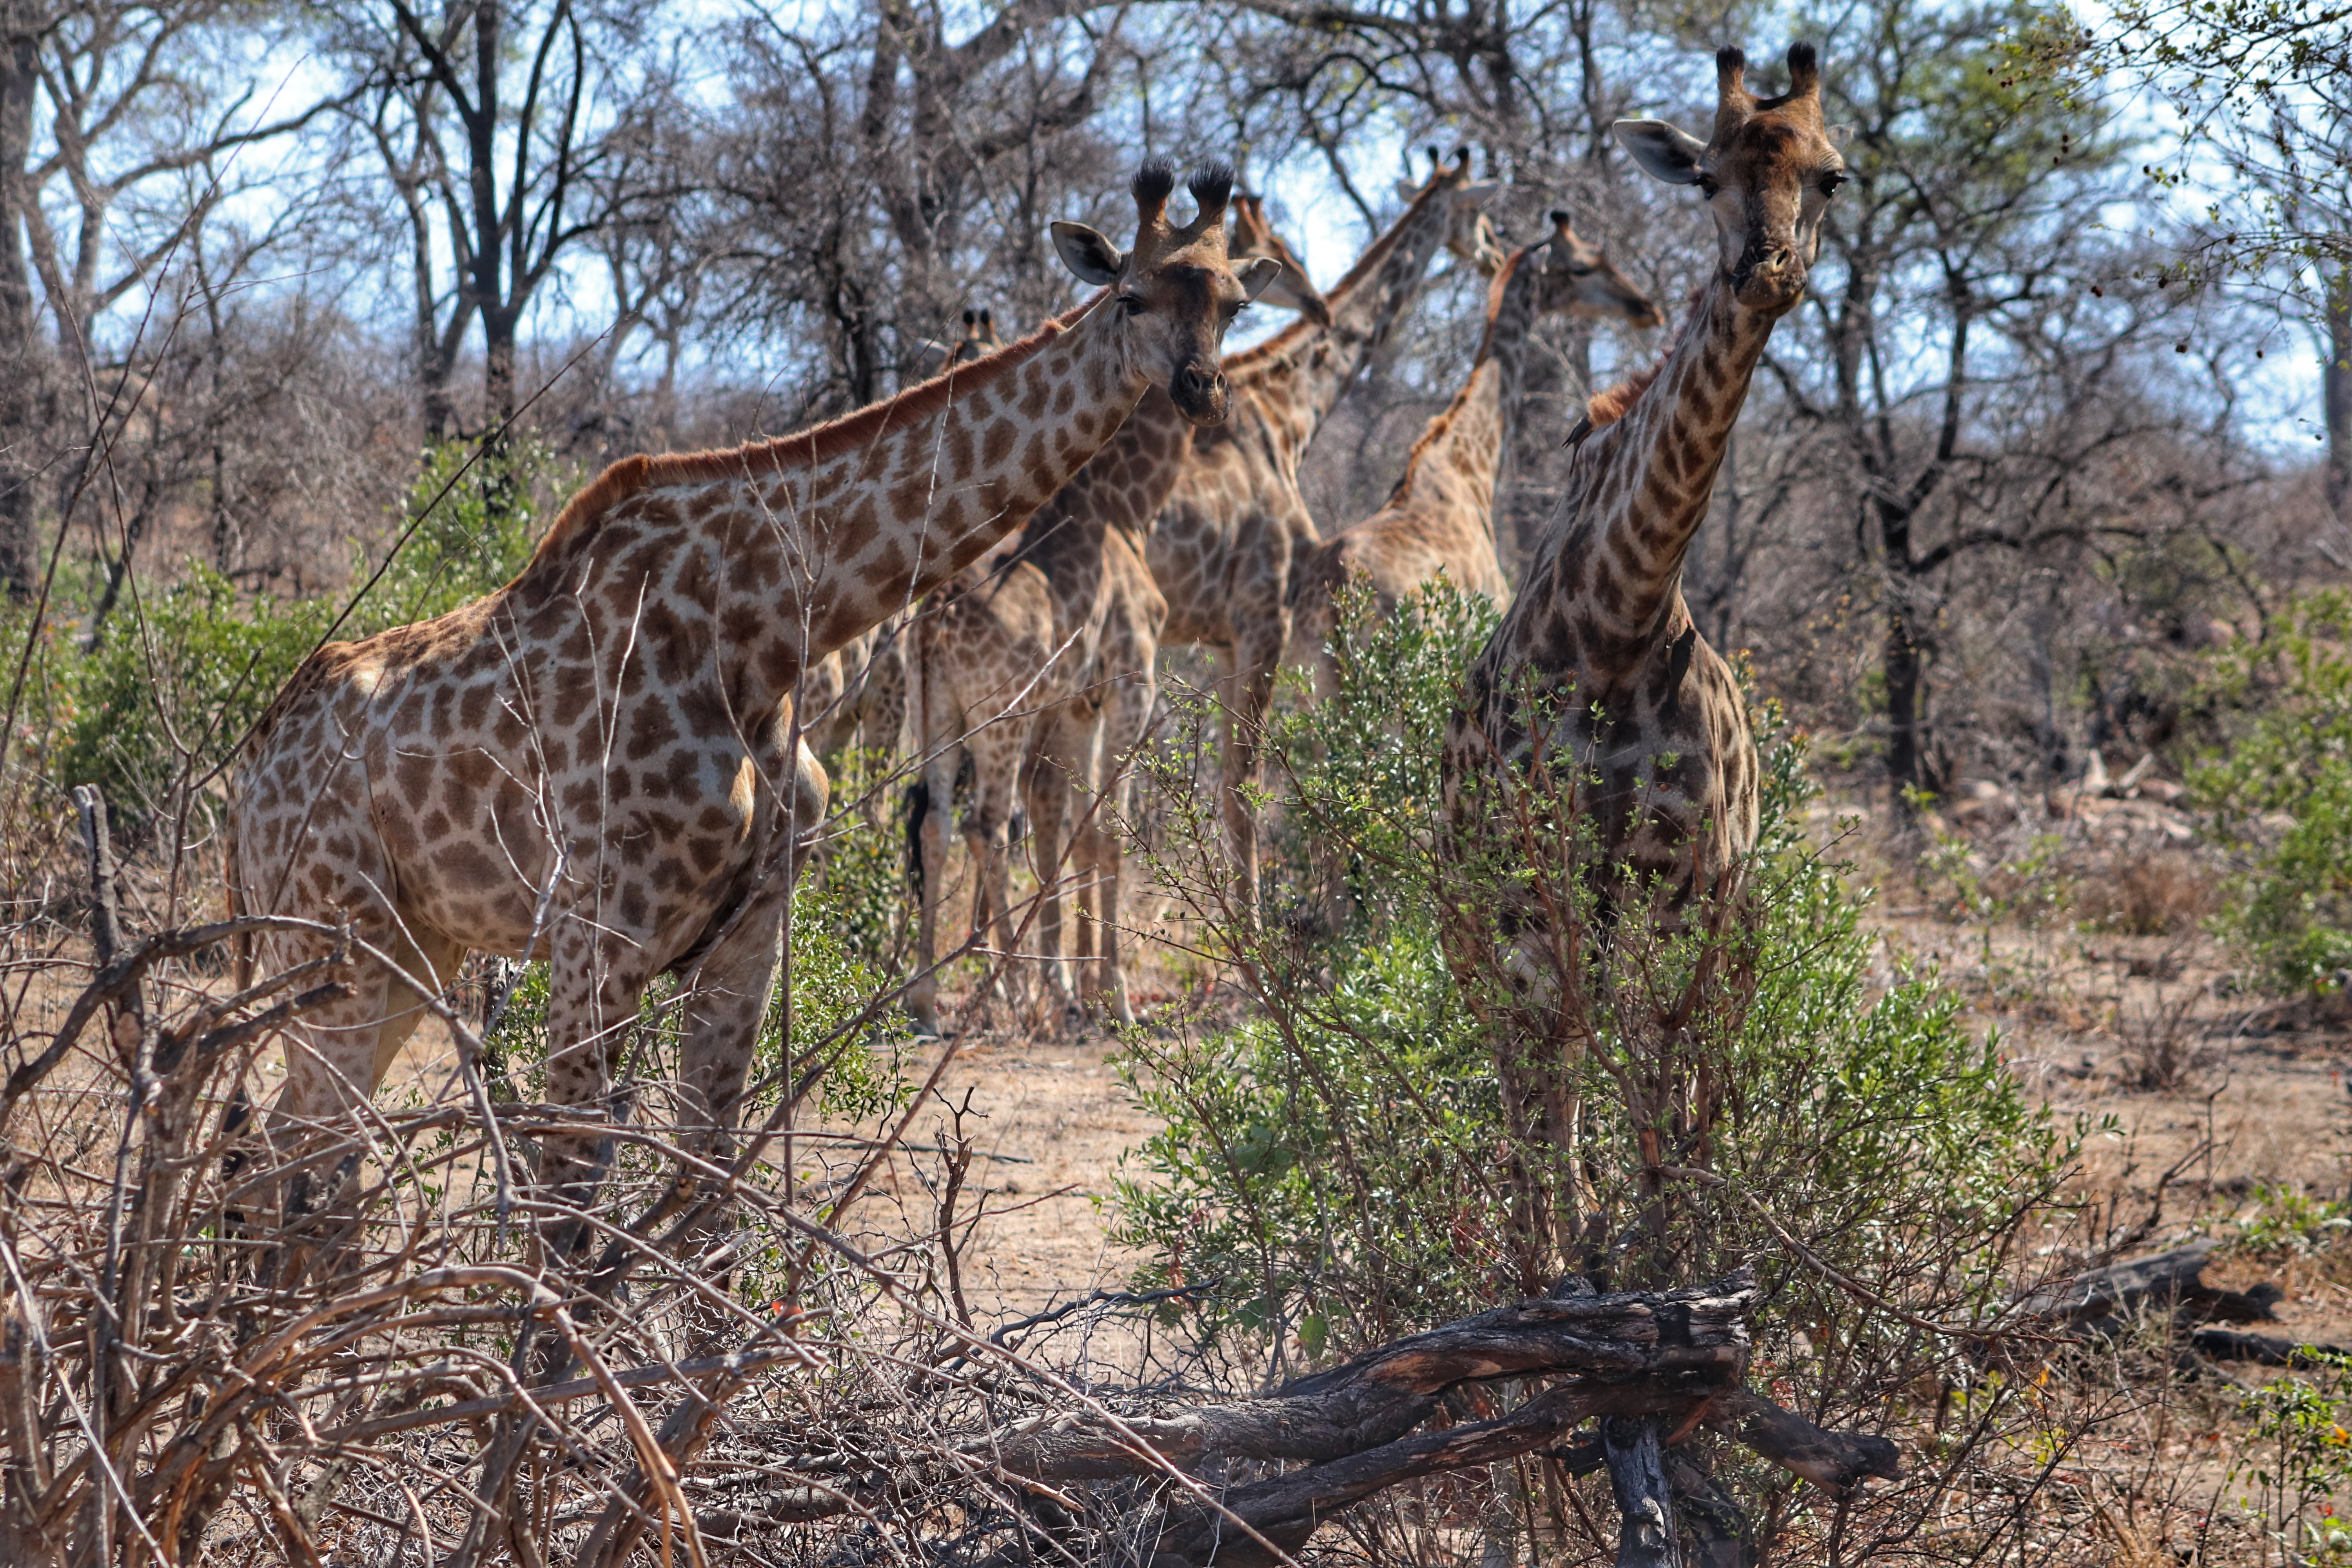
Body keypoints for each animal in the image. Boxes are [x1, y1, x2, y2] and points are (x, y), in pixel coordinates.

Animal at [227, 160, 1285, 1225]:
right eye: (1131, 295)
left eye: (1232, 305)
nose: (1199, 387)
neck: (760, 634)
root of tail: (252, 767)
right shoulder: (600, 936)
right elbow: (572, 1189)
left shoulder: (747, 935)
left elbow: (711, 1190)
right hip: (340, 945)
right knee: (293, 1157)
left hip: (417, 953)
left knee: (291, 1154)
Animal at [904, 205, 1328, 1034]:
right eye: (1137, 298)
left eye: (1234, 303)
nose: (1207, 388)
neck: (1121, 506)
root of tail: (933, 623)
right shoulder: (1136, 677)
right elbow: (1113, 828)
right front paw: (1109, 999)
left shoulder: (1079, 699)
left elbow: (1080, 829)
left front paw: (1077, 988)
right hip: (998, 717)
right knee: (985, 826)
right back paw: (1002, 995)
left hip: (936, 712)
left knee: (940, 826)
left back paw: (930, 1003)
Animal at [1148, 150, 1503, 905]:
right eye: (1480, 212)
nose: (1492, 254)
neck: (1287, 417)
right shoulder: (1262, 619)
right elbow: (1249, 791)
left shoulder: (1219, 635)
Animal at [1290, 214, 1664, 687]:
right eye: (1582, 266)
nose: (1645, 307)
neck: (1472, 467)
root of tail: (1339, 600)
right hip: (1405, 669)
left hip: (1312, 679)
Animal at [1436, 44, 1848, 1271]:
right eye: (1705, 176)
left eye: (1831, 176)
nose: (1767, 271)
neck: (1618, 619)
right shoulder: (1531, 885)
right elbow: (1553, 1093)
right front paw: (1556, 1277)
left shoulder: (1680, 885)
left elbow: (1657, 1091)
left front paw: (1663, 1275)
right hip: (1482, 921)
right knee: (1541, 1071)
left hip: (1722, 918)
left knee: (1679, 1074)